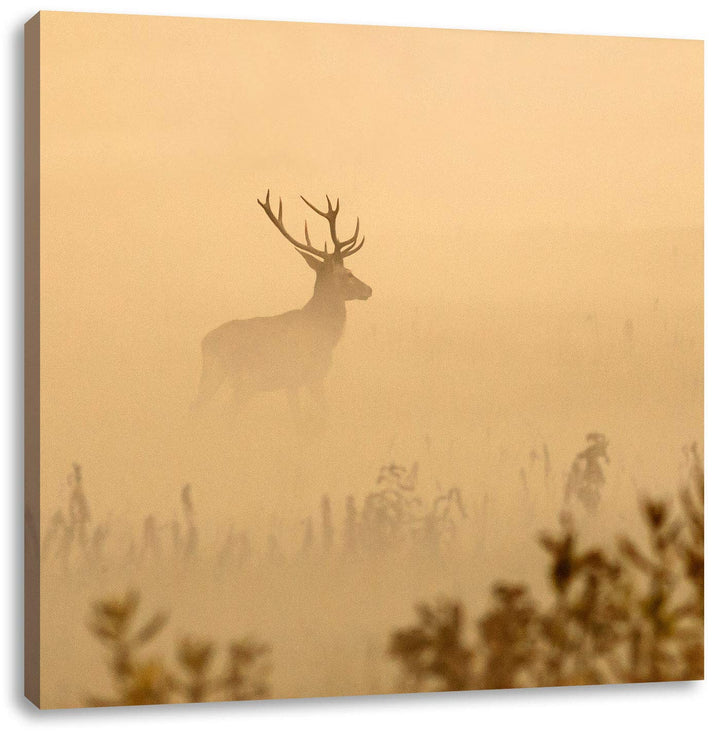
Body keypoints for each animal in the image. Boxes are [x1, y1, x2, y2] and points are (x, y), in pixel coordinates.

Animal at [191, 191, 372, 422]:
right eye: (348, 273)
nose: (368, 289)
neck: (323, 332)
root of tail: (205, 343)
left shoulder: (295, 383)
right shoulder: (308, 376)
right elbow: (318, 415)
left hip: (217, 375)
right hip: (243, 380)